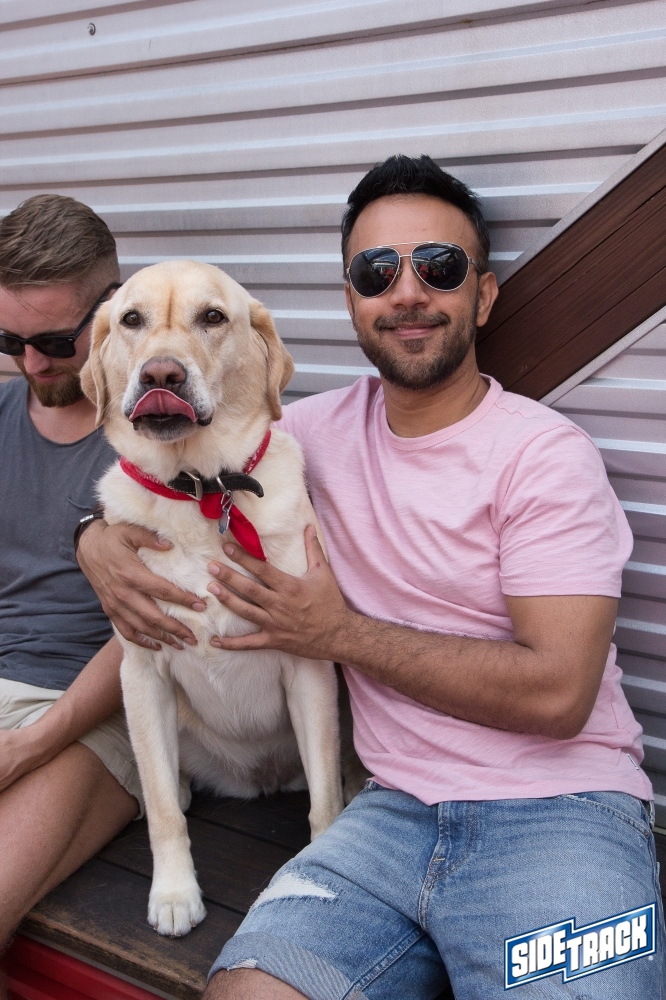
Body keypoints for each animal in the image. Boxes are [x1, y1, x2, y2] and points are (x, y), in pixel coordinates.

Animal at [80, 260, 345, 937]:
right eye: (132, 319)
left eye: (212, 318)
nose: (161, 375)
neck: (200, 491)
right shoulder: (143, 671)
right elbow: (164, 812)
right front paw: (175, 893)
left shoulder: (307, 666)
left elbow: (325, 802)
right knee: (165, 785)